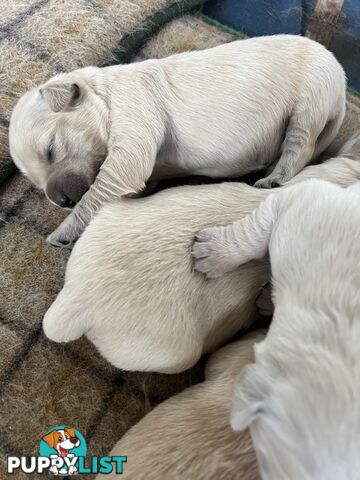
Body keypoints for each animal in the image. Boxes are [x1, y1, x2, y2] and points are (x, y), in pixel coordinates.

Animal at [9, 34, 346, 248]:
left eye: (51, 150)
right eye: (34, 183)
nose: (60, 201)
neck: (105, 95)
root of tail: (341, 84)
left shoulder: (134, 119)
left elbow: (100, 189)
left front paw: (64, 232)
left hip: (311, 98)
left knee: (300, 146)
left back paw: (276, 177)